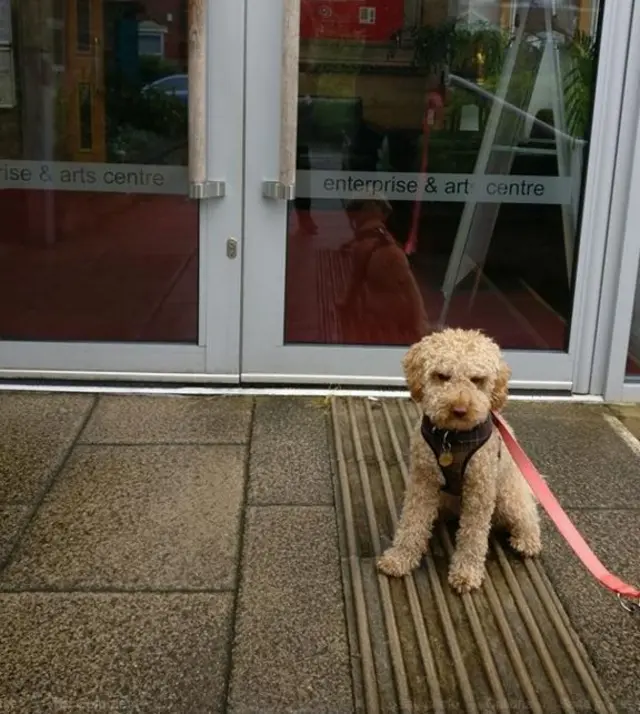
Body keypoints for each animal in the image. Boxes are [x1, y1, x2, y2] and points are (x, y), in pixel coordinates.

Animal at [378, 328, 544, 588]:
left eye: (477, 379)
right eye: (442, 376)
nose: (459, 410)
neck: (452, 438)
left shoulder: (480, 491)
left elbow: (473, 536)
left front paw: (466, 573)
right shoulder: (422, 483)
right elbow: (412, 523)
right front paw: (400, 557)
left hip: (508, 495)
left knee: (528, 516)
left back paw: (527, 541)